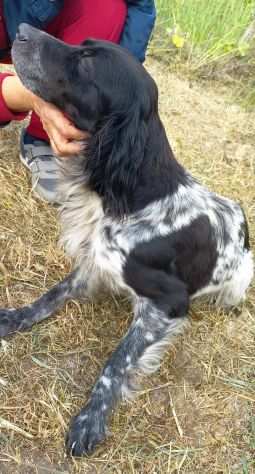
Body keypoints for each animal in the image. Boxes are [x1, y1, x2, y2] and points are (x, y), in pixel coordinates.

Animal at [0, 25, 253, 456]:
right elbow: (51, 295)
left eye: (87, 62)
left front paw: (90, 419)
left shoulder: (170, 302)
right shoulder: (94, 262)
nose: (21, 31)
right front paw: (16, 317)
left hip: (240, 278)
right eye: (82, 46)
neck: (132, 193)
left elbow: (116, 361)